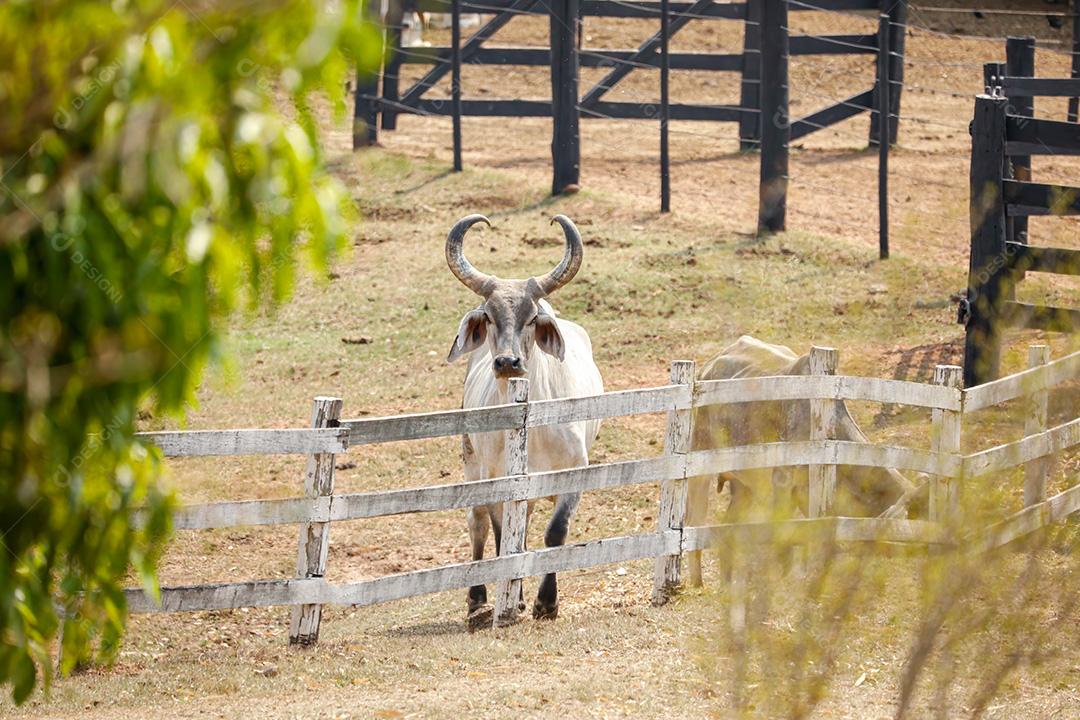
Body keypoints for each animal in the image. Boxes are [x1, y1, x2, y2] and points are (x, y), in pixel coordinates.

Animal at [442, 211, 604, 626]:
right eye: (489, 316)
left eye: (532, 318)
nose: (507, 362)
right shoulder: (497, 480)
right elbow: (504, 539)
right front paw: (511, 600)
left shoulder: (574, 473)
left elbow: (554, 533)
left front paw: (546, 602)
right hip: (471, 461)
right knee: (478, 524)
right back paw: (478, 598)